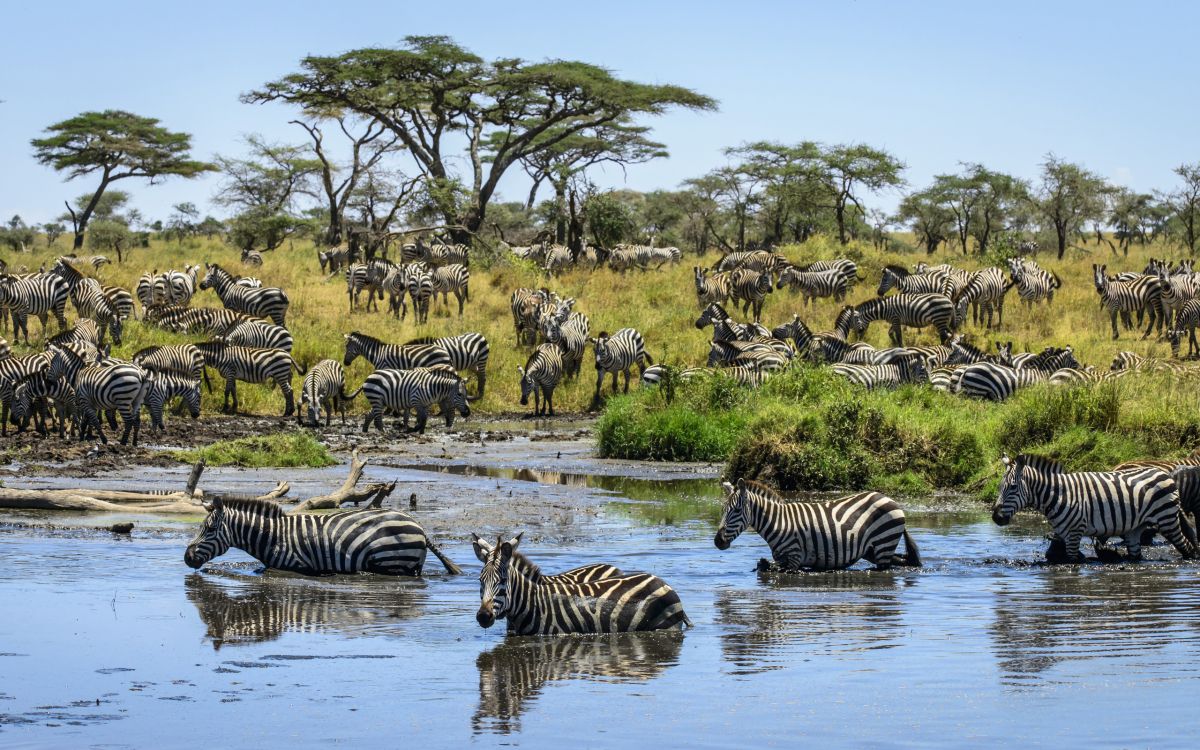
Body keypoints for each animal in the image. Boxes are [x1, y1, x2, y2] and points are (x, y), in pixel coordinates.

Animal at [184, 496, 462, 576]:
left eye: (209, 529)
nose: (186, 557)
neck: (273, 536)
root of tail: (419, 526)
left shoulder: (296, 564)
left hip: (390, 559)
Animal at [475, 533, 691, 635]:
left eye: (503, 581)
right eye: (480, 580)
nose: (483, 616)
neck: (533, 604)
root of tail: (659, 580)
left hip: (666, 628)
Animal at [714, 478, 921, 571]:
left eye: (736, 511)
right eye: (722, 510)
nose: (717, 541)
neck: (778, 522)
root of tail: (890, 499)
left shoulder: (794, 559)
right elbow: (762, 565)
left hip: (883, 544)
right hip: (872, 549)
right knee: (902, 561)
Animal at [993, 454, 1196, 563]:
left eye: (1012, 487)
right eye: (1000, 486)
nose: (996, 517)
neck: (1058, 495)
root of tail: (1165, 474)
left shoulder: (1075, 533)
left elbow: (1073, 561)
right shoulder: (1064, 532)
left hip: (1166, 520)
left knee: (1187, 547)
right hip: (1135, 529)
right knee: (1136, 555)